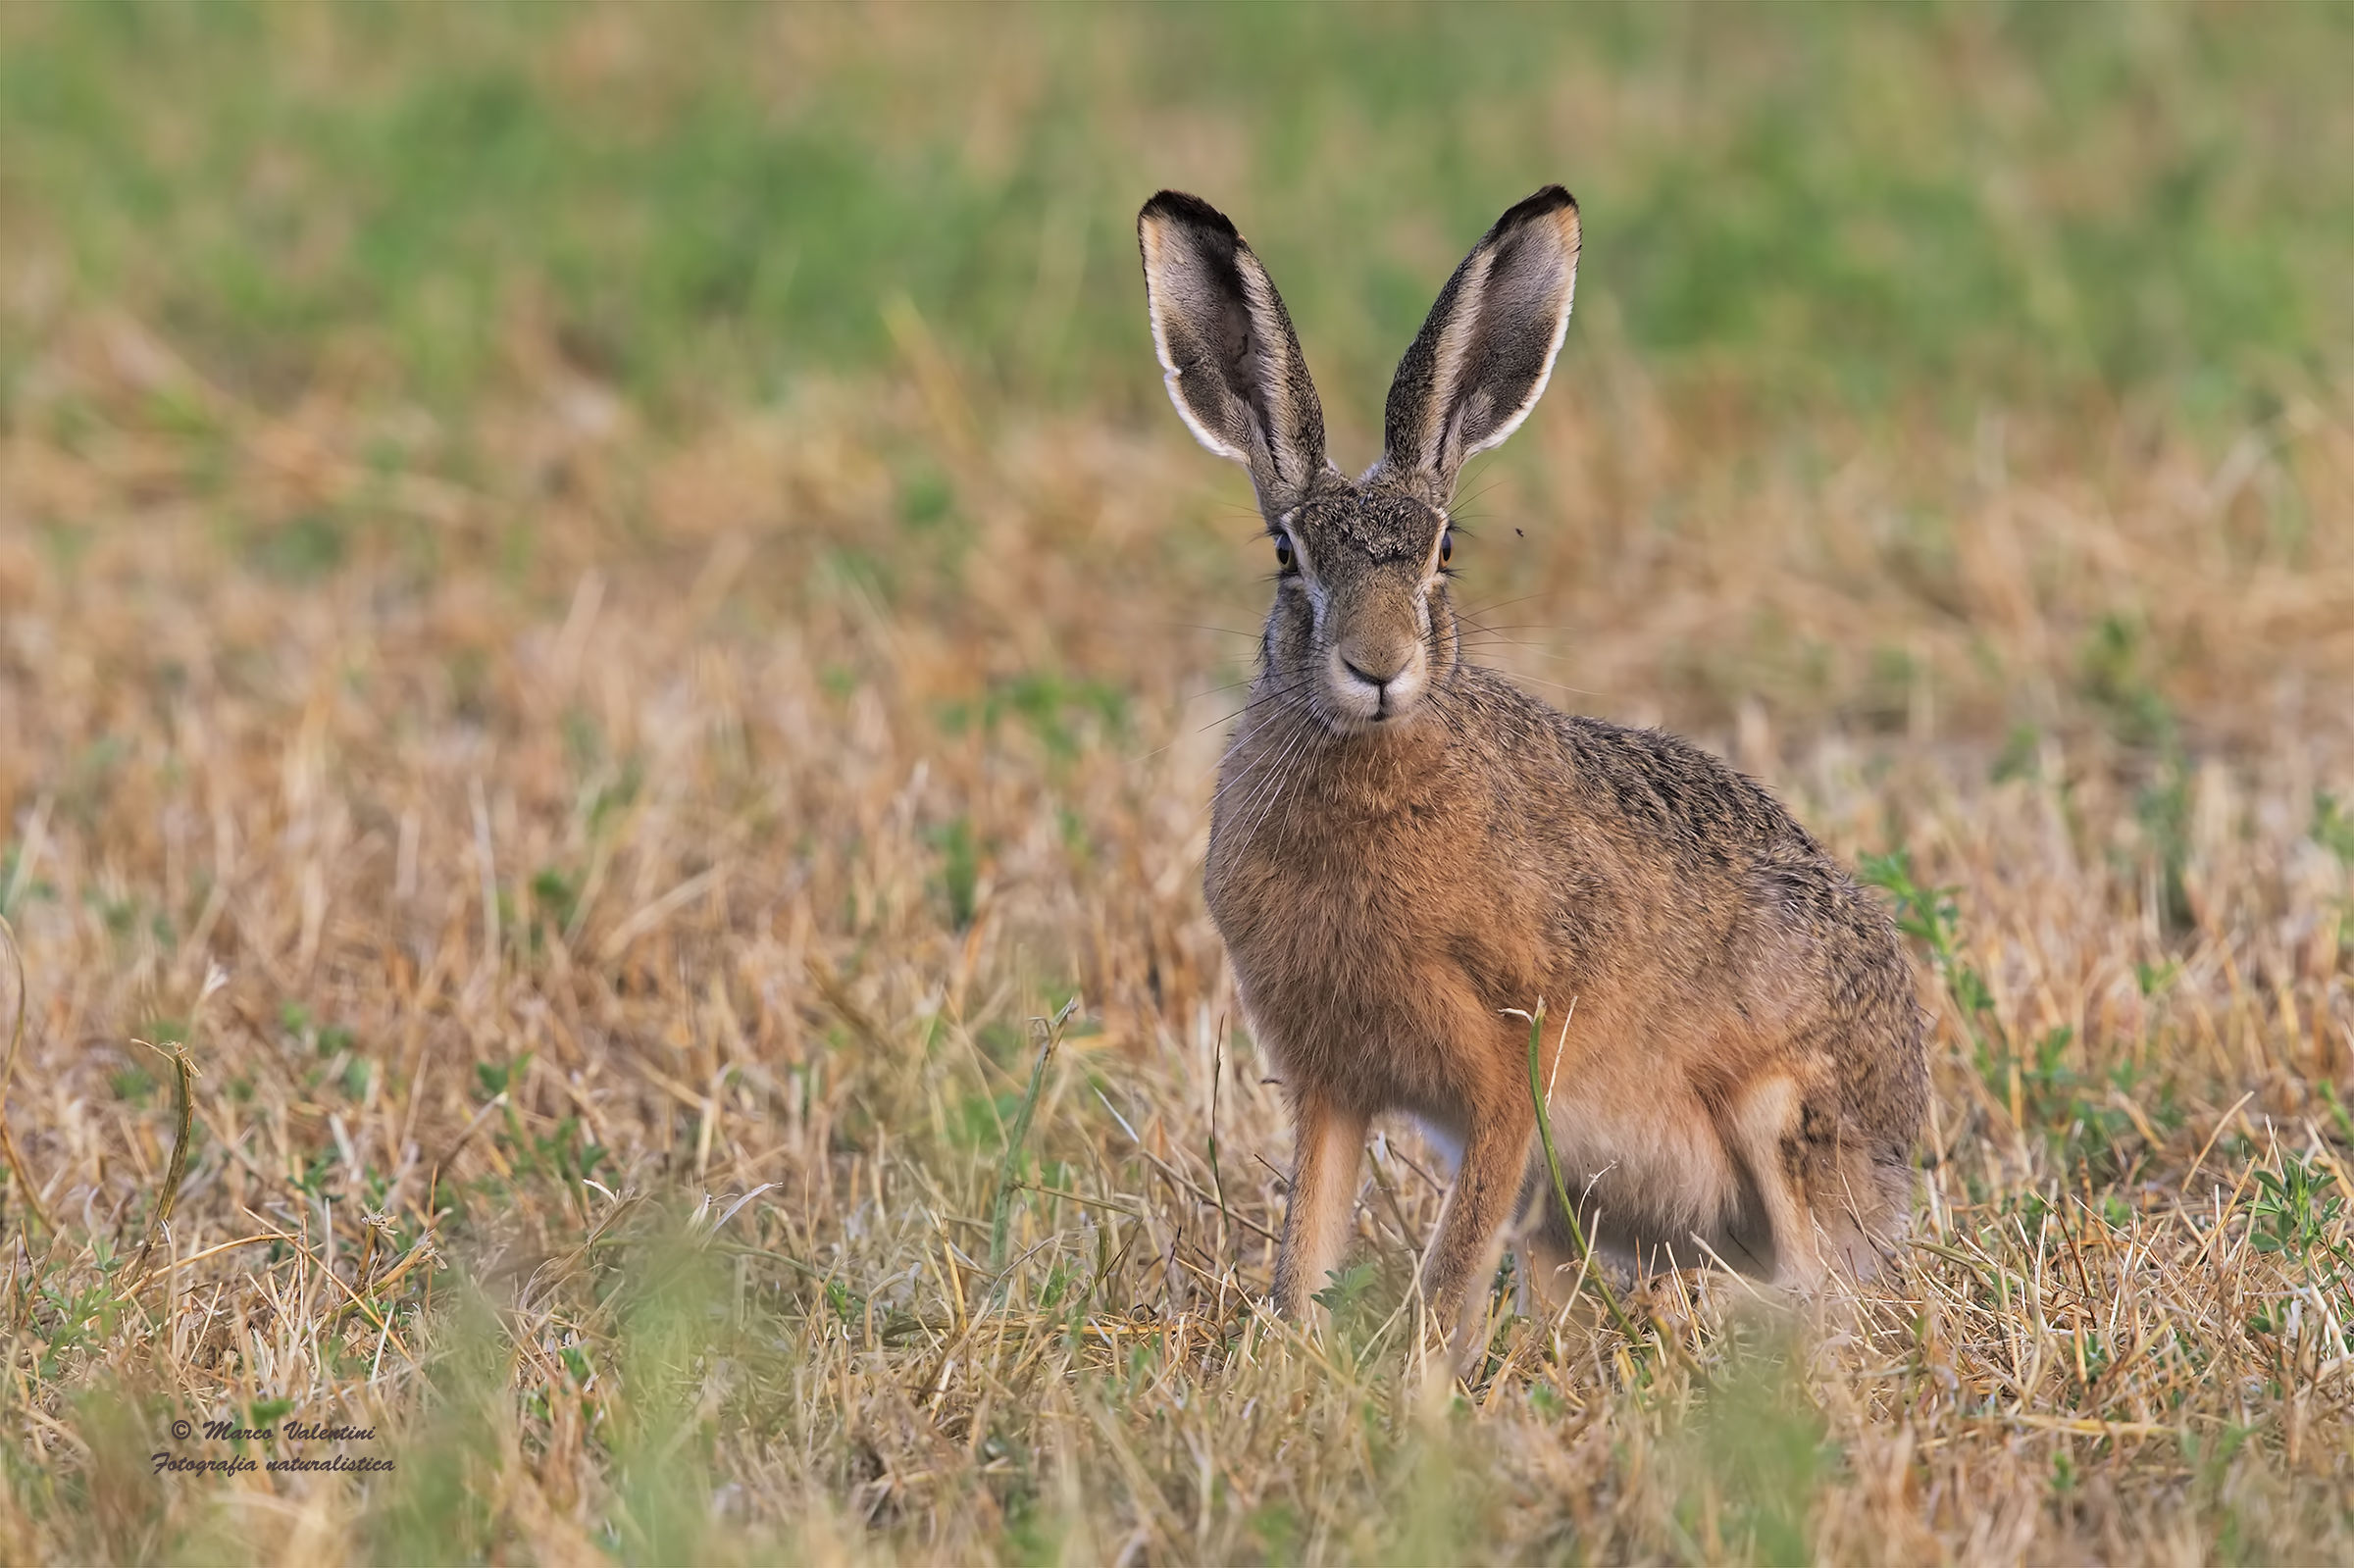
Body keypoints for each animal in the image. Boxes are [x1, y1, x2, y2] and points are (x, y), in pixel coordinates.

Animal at [1135, 185, 1928, 1362]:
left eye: (1445, 553)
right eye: (1286, 557)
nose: (1379, 666)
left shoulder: (1514, 1067)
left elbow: (1454, 1259)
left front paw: (1414, 1380)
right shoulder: (1332, 1082)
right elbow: (1305, 1250)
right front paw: (1295, 1366)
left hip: (1784, 1110)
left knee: (1822, 1289)